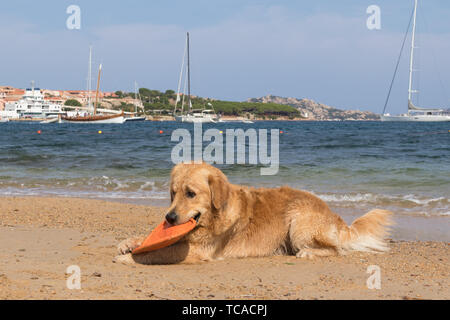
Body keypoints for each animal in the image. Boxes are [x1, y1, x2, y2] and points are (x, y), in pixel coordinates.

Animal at [114, 162, 392, 264]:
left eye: (190, 193)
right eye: (173, 193)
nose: (169, 218)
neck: (213, 218)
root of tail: (334, 214)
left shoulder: (196, 250)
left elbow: (158, 252)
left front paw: (130, 258)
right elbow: (148, 240)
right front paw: (128, 243)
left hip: (298, 222)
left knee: (336, 249)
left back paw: (308, 252)